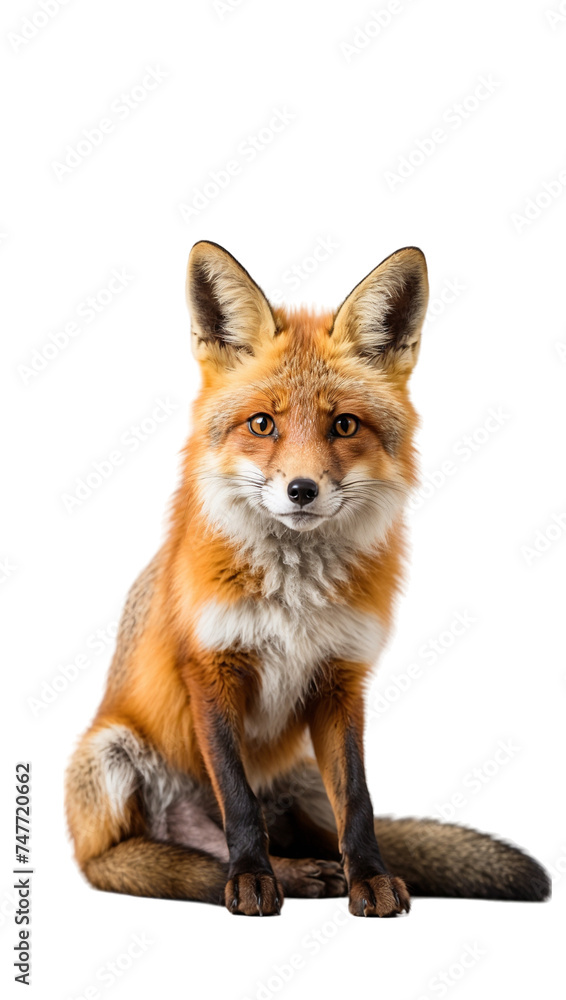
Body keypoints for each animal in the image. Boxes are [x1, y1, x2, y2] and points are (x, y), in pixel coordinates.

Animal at [65, 241, 550, 917]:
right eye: (262, 424)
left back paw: (321, 872)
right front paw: (251, 881)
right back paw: (262, 876)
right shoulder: (211, 669)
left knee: (305, 837)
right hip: (109, 757)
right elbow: (238, 802)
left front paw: (371, 879)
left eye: (343, 425)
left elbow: (361, 804)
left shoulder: (342, 679)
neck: (296, 595)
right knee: (169, 861)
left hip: (299, 787)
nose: (301, 490)